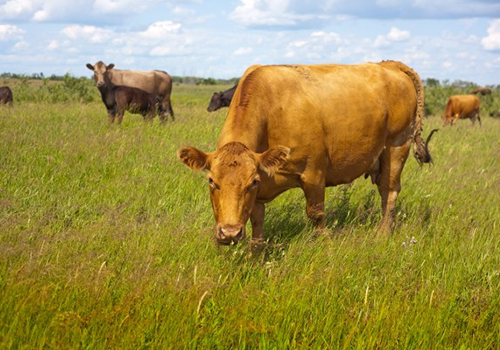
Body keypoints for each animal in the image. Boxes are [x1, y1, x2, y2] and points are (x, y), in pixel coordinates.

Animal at [179, 60, 434, 246]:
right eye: (212, 181)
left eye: (251, 182)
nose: (230, 233)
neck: (271, 112)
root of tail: (388, 64)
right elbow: (257, 222)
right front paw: (256, 255)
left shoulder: (313, 174)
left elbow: (316, 214)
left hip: (397, 146)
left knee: (389, 192)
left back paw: (382, 234)